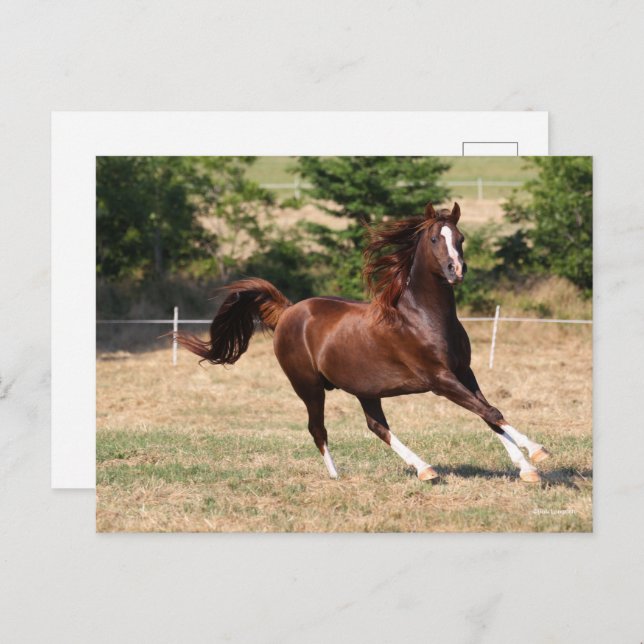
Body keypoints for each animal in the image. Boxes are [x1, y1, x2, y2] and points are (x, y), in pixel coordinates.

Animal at [176, 202, 550, 483]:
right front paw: (538, 453)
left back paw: (425, 469)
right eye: (433, 238)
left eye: (460, 237)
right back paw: (336, 475)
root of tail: (287, 312)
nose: (455, 269)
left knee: (377, 426)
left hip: (365, 389)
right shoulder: (439, 380)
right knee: (318, 428)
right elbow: (490, 410)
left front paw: (527, 467)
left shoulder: (464, 372)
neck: (423, 317)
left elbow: (488, 413)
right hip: (309, 387)